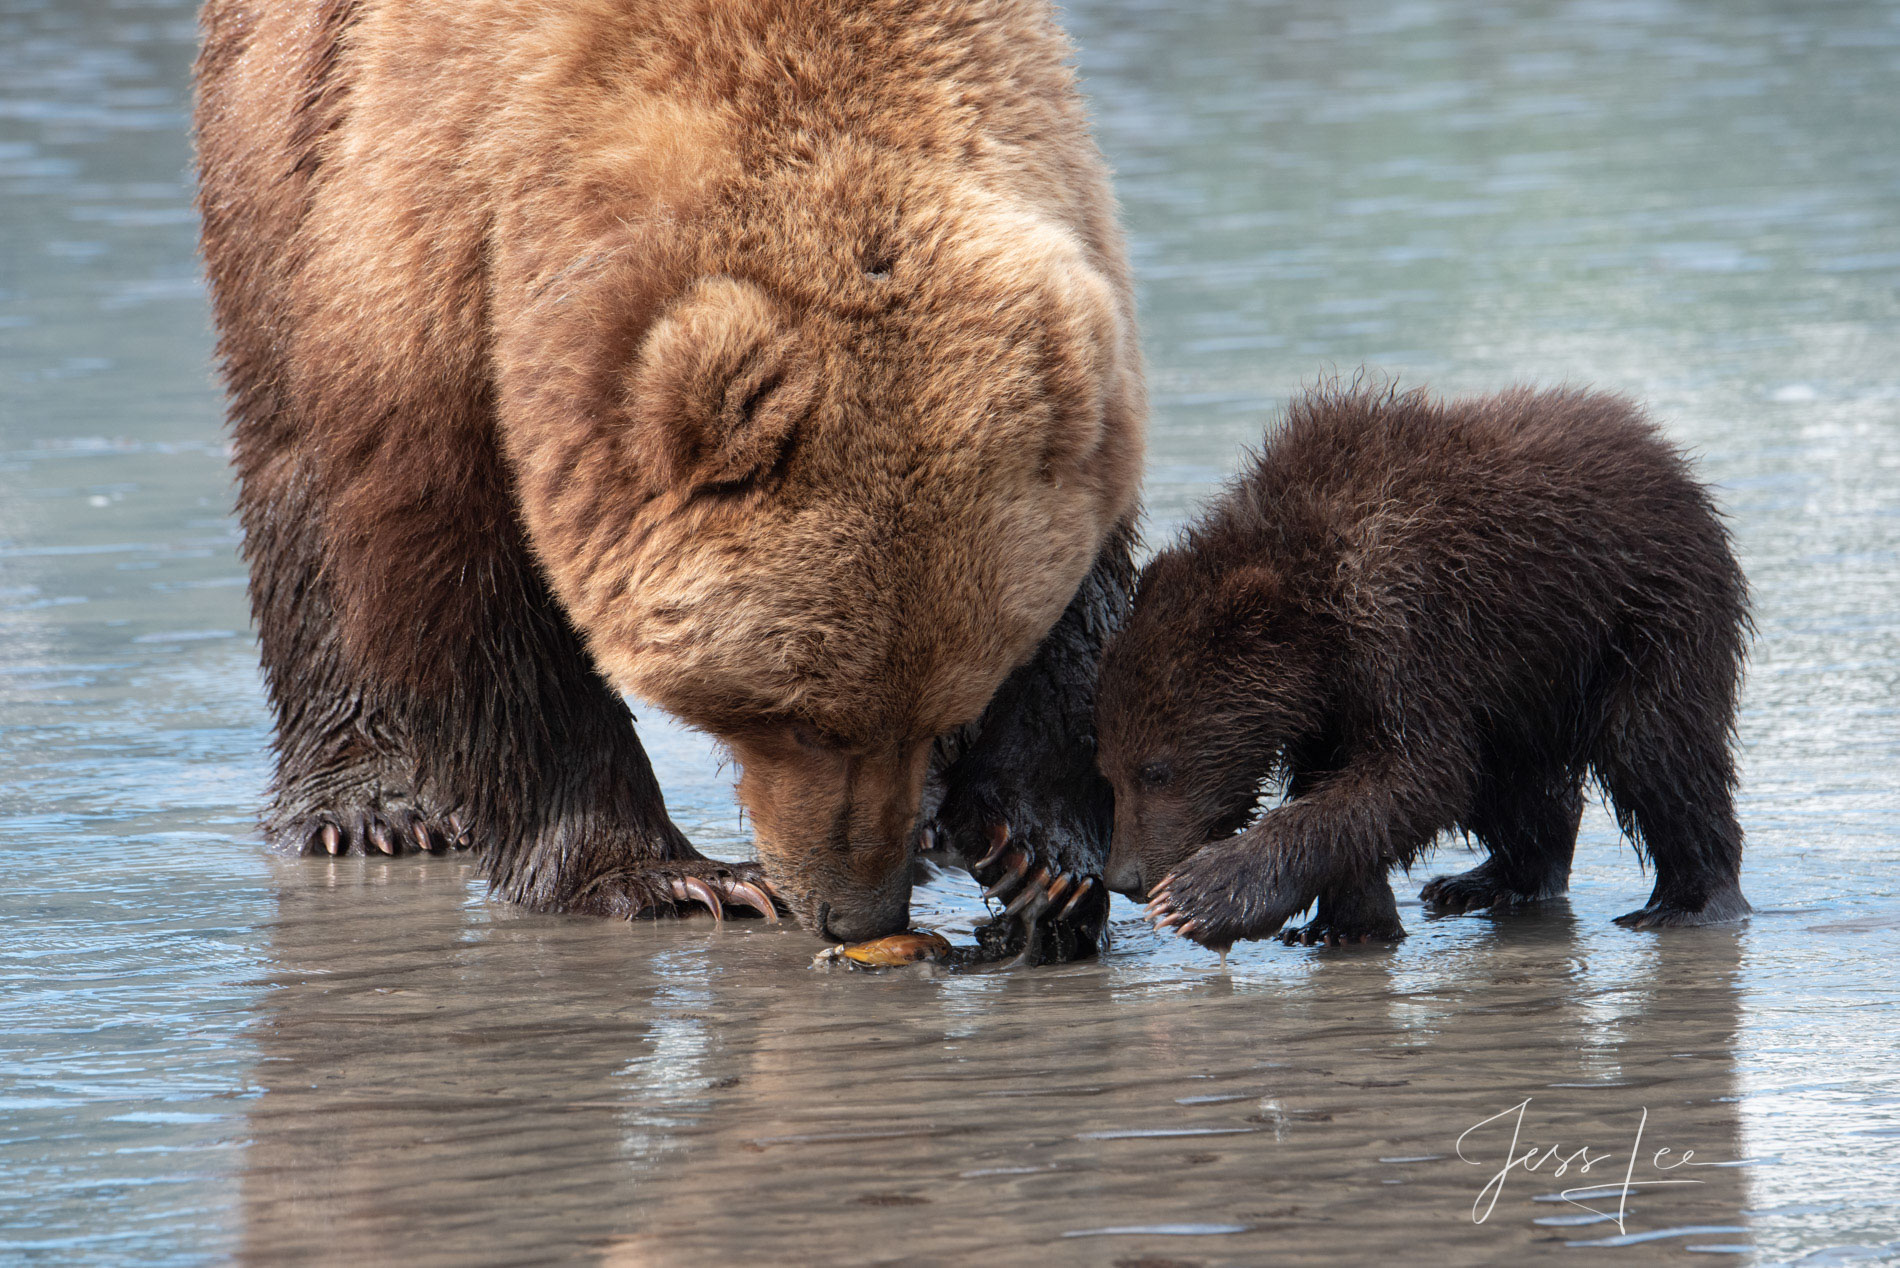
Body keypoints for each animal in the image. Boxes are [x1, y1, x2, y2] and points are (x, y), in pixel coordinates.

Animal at [192, 0, 1140, 950]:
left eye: (943, 704)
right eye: (800, 720)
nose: (856, 910)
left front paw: (1038, 858)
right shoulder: (439, 220)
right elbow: (470, 581)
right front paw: (669, 876)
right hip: (282, 136)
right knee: (292, 461)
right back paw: (367, 805)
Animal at [1102, 387, 1748, 950]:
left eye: (1157, 770)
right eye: (1108, 772)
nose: (1124, 879)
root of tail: (1666, 454)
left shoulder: (1406, 630)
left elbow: (1418, 772)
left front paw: (1203, 895)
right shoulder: (1332, 697)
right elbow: (1346, 781)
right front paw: (1344, 922)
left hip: (1642, 614)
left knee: (1653, 746)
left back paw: (1687, 900)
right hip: (1520, 678)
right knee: (1509, 777)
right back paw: (1484, 881)